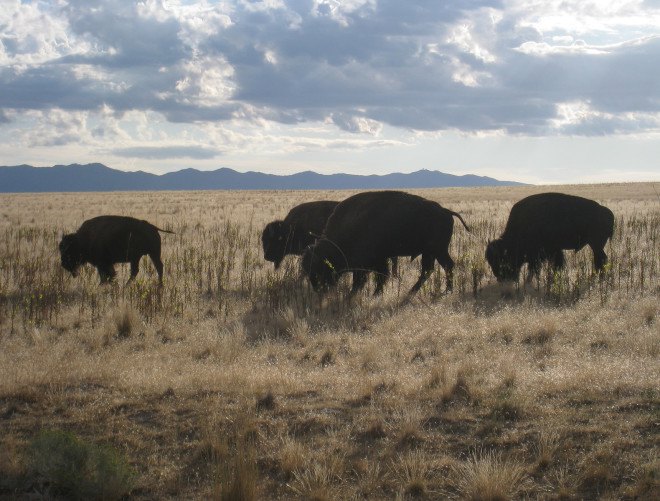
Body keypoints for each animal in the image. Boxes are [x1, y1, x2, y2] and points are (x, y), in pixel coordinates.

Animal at [302, 191, 470, 296]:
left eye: (319, 269)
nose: (319, 290)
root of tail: (446, 211)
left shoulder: (373, 262)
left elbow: (371, 279)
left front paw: (365, 294)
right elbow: (375, 277)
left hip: (438, 250)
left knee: (445, 266)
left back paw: (446, 290)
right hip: (430, 252)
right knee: (429, 270)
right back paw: (414, 291)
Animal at [485, 192, 614, 282]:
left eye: (502, 259)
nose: (501, 278)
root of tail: (607, 211)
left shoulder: (546, 253)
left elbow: (538, 268)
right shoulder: (551, 252)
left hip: (596, 245)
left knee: (601, 259)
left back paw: (598, 277)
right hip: (596, 245)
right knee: (600, 259)